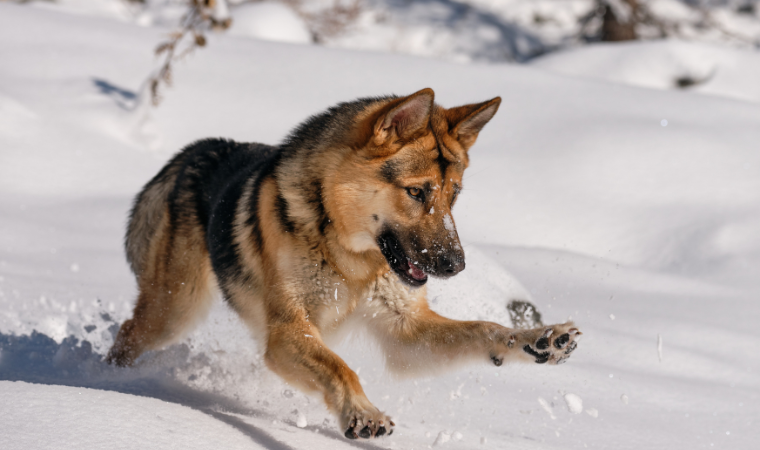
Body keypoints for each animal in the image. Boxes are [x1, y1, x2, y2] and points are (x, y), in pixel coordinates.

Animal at [107, 88, 580, 440]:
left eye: (454, 194)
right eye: (416, 192)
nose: (456, 265)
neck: (349, 256)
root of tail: (195, 150)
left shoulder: (406, 332)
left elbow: (486, 329)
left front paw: (541, 338)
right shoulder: (286, 333)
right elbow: (340, 367)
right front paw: (362, 413)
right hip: (175, 312)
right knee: (126, 335)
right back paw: (112, 384)